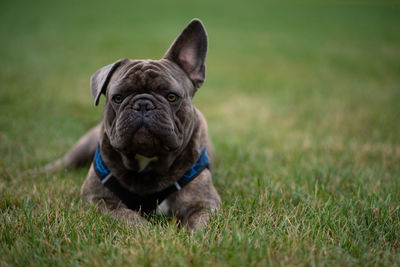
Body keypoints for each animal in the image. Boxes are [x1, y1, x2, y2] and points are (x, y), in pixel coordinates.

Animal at [44, 19, 222, 232]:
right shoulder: (98, 198)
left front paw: (191, 236)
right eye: (118, 98)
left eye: (172, 96)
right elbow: (125, 216)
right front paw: (146, 231)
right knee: (63, 163)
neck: (147, 162)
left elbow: (199, 224)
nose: (143, 104)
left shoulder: (204, 202)